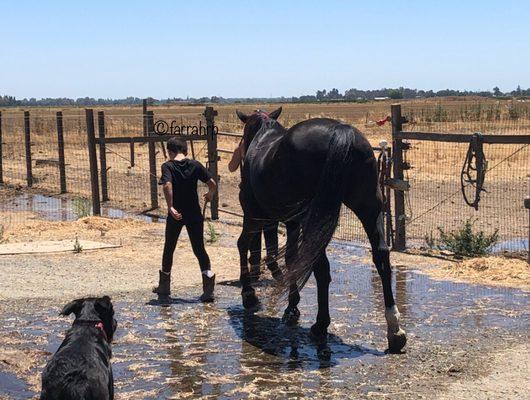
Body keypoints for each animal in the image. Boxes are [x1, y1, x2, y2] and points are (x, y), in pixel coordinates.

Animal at [234, 107, 404, 354]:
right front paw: (291, 307)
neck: (263, 138)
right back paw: (395, 329)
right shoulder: (292, 223)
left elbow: (244, 245)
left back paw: (320, 325)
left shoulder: (254, 216)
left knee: (321, 267)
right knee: (381, 256)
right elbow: (292, 259)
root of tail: (342, 131)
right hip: (369, 209)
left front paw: (249, 295)